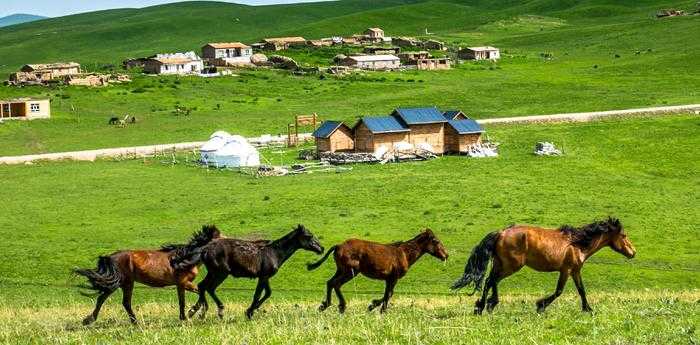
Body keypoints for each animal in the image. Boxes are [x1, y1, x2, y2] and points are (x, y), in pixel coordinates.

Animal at [75, 224, 220, 324]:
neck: (184, 258)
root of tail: (111, 257)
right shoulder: (183, 283)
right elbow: (188, 299)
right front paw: (190, 314)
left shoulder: (182, 285)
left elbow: (191, 297)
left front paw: (188, 315)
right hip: (124, 283)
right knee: (114, 300)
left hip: (124, 283)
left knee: (116, 301)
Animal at [171, 224, 324, 318]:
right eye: (309, 236)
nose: (321, 249)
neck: (274, 252)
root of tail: (205, 249)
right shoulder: (263, 276)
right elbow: (257, 295)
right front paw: (249, 312)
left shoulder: (265, 277)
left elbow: (268, 293)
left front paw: (251, 310)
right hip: (221, 273)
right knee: (208, 287)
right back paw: (214, 311)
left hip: (214, 272)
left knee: (203, 286)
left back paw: (196, 311)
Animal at [306, 227, 448, 314]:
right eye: (436, 241)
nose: (446, 255)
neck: (404, 254)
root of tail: (338, 246)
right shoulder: (393, 278)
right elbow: (389, 294)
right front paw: (377, 308)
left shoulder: (388, 279)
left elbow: (387, 294)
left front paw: (374, 306)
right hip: (351, 271)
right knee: (336, 284)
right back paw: (342, 306)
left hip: (341, 270)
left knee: (330, 282)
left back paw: (325, 305)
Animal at [452, 218, 636, 314]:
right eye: (624, 235)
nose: (633, 252)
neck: (577, 244)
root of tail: (501, 232)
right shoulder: (566, 270)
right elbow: (559, 291)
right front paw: (540, 306)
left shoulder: (575, 271)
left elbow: (582, 290)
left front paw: (588, 309)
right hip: (511, 266)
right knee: (491, 280)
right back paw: (484, 306)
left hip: (501, 264)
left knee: (491, 281)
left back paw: (486, 305)